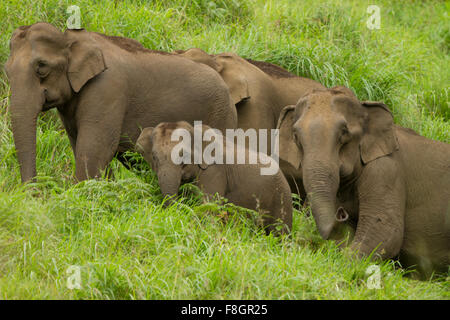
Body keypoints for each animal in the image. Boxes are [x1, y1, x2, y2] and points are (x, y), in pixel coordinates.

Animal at [5, 22, 237, 182]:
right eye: (7, 70)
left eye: (41, 67)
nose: (35, 192)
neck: (71, 39)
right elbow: (80, 144)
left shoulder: (107, 89)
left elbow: (95, 149)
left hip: (220, 116)